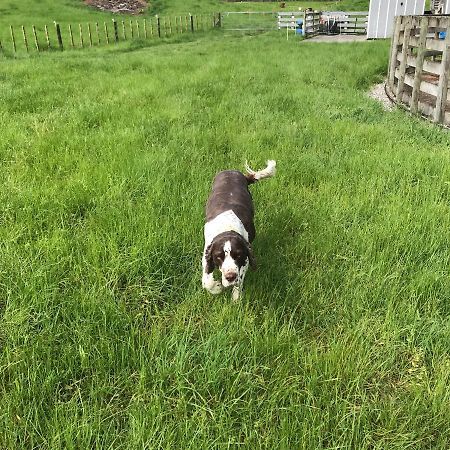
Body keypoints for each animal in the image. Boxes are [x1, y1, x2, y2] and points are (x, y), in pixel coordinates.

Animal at [202, 160, 276, 300]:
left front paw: (235, 298)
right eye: (219, 257)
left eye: (238, 255)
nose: (230, 277)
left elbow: (240, 279)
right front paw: (217, 287)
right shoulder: (206, 252)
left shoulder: (245, 258)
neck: (227, 227)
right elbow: (206, 281)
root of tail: (234, 171)